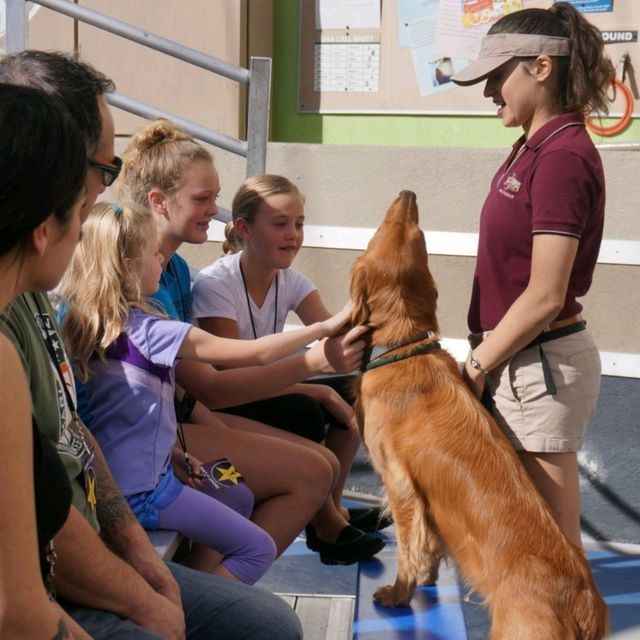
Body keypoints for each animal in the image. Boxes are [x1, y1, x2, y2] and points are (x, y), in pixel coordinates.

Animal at [352, 191, 608, 640]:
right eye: (412, 231)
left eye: (380, 231)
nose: (408, 194)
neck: (405, 346)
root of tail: (582, 602)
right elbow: (429, 546)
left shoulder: (400, 486)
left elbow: (409, 548)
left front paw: (399, 594)